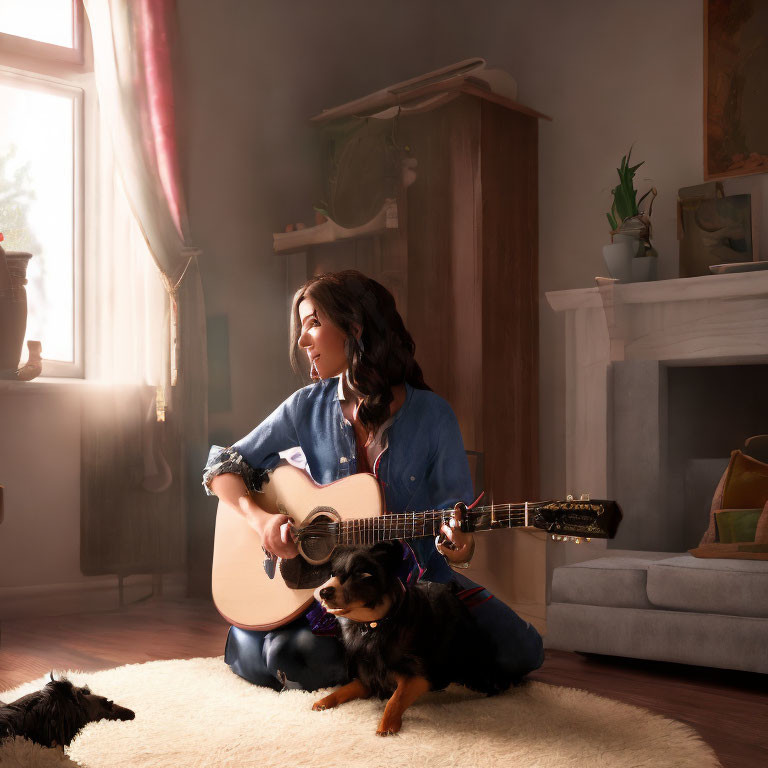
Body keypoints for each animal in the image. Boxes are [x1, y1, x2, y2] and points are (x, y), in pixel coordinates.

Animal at [312, 536, 510, 736]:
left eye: (362, 574)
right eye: (331, 574)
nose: (323, 592)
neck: (376, 624)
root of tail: (450, 588)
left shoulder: (417, 676)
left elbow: (395, 699)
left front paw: (386, 727)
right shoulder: (369, 679)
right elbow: (342, 690)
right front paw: (323, 702)